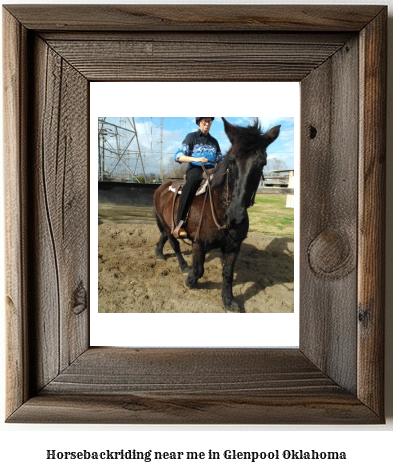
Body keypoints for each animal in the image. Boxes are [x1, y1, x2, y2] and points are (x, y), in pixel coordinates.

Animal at [152, 116, 278, 312]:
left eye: (262, 163)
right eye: (232, 160)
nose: (235, 215)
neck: (219, 209)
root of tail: (162, 187)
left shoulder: (234, 246)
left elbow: (228, 273)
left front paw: (228, 300)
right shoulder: (198, 243)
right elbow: (198, 270)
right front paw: (189, 280)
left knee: (164, 236)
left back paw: (159, 252)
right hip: (168, 225)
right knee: (174, 244)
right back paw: (183, 266)